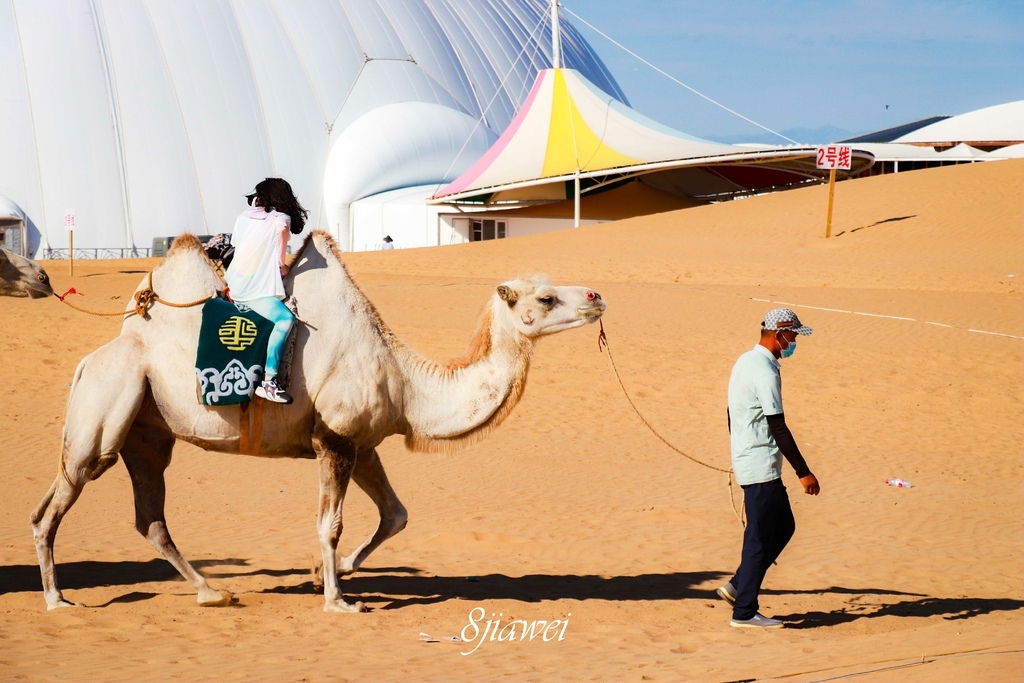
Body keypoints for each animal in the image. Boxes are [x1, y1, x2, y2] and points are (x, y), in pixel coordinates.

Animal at [32, 231, 602, 614]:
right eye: (546, 298)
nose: (596, 296)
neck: (405, 382)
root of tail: (91, 359)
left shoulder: (362, 443)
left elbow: (397, 515)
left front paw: (326, 573)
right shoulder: (335, 439)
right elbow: (331, 524)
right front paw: (338, 600)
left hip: (148, 434)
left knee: (150, 518)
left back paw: (212, 590)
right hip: (106, 409)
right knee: (56, 502)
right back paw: (58, 599)